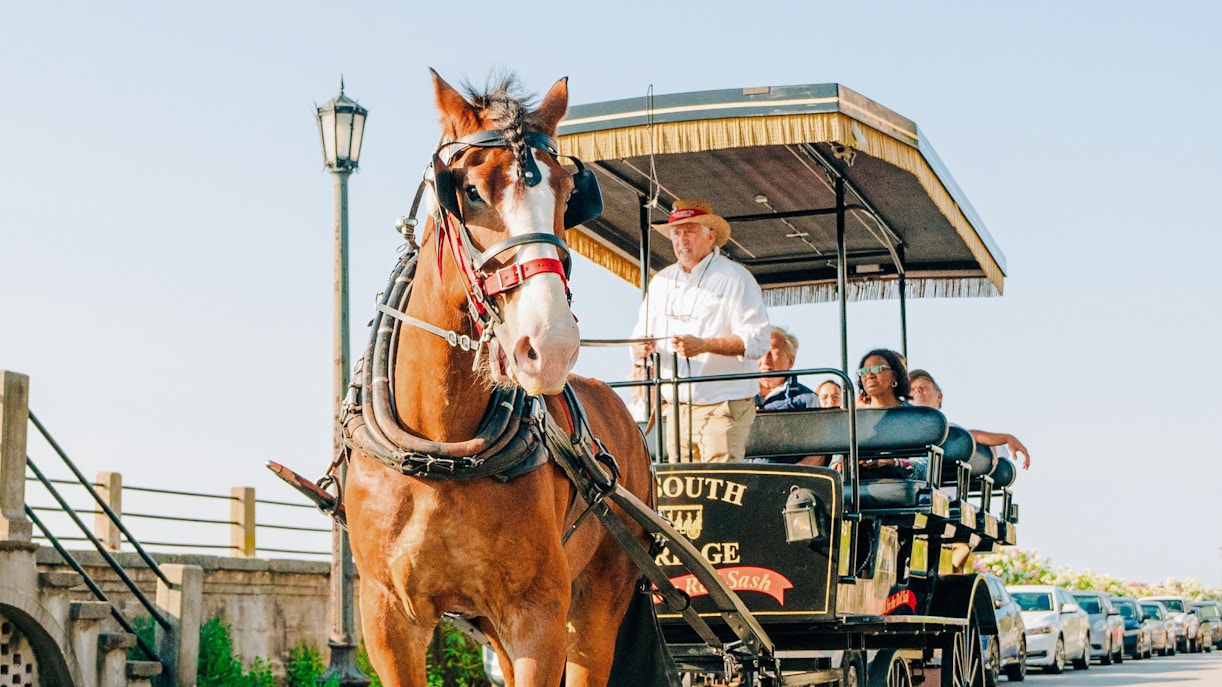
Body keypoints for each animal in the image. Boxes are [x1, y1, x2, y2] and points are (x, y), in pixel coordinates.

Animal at [342, 70, 654, 687]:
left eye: (567, 193)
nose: (551, 347)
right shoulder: (387, 617)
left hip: (599, 602)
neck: (441, 451)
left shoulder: (539, 613)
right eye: (469, 191)